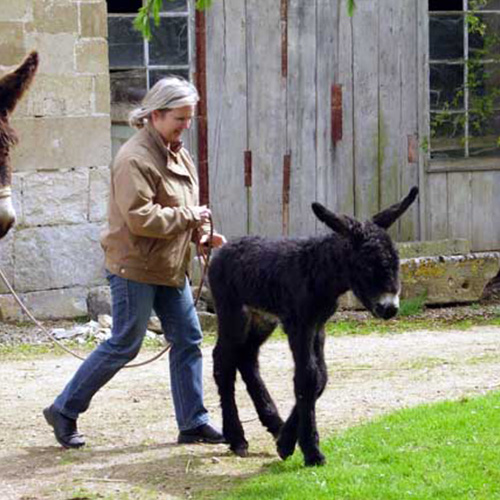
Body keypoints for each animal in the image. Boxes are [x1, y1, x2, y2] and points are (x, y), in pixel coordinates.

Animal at [207, 187, 418, 464]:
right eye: (366, 264)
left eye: (396, 261)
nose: (390, 308)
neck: (317, 271)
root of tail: (222, 249)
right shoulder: (299, 324)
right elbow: (307, 377)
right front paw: (311, 451)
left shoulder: (319, 326)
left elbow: (321, 377)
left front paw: (286, 441)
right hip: (233, 314)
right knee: (223, 361)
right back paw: (237, 438)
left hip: (262, 319)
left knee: (247, 359)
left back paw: (274, 423)